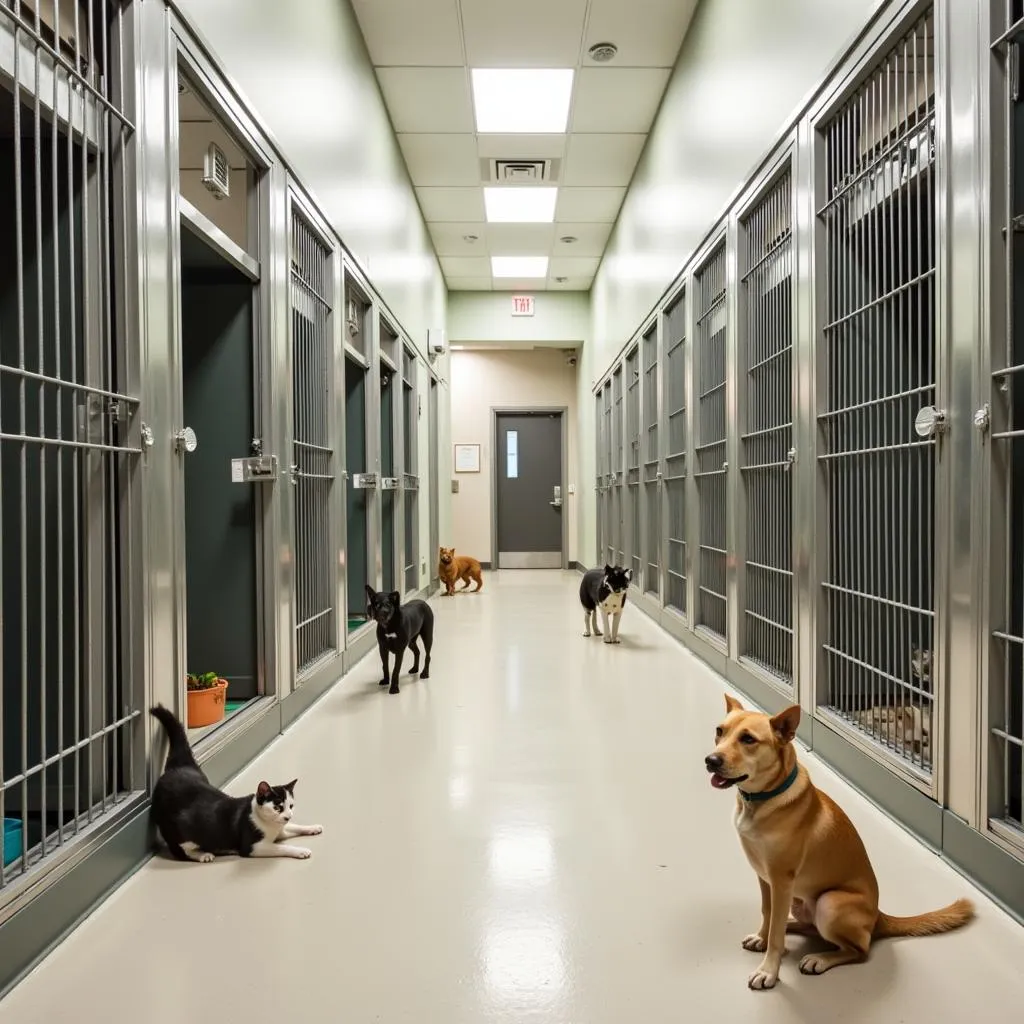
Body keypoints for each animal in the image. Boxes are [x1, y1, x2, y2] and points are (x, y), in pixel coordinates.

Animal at [148, 704, 321, 864]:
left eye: (291, 806)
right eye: (277, 807)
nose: (288, 816)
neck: (268, 824)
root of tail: (177, 768)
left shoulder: (281, 830)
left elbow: (294, 826)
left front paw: (313, 827)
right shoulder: (253, 846)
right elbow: (281, 847)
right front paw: (301, 850)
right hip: (180, 830)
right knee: (179, 849)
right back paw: (203, 854)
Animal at [708, 692, 970, 987]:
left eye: (749, 739)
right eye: (720, 731)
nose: (710, 760)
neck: (762, 800)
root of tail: (879, 916)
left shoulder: (781, 880)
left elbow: (775, 931)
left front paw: (768, 971)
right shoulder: (765, 878)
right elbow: (768, 913)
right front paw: (762, 938)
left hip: (830, 903)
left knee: (859, 950)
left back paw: (819, 959)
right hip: (800, 902)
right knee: (803, 925)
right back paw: (790, 928)